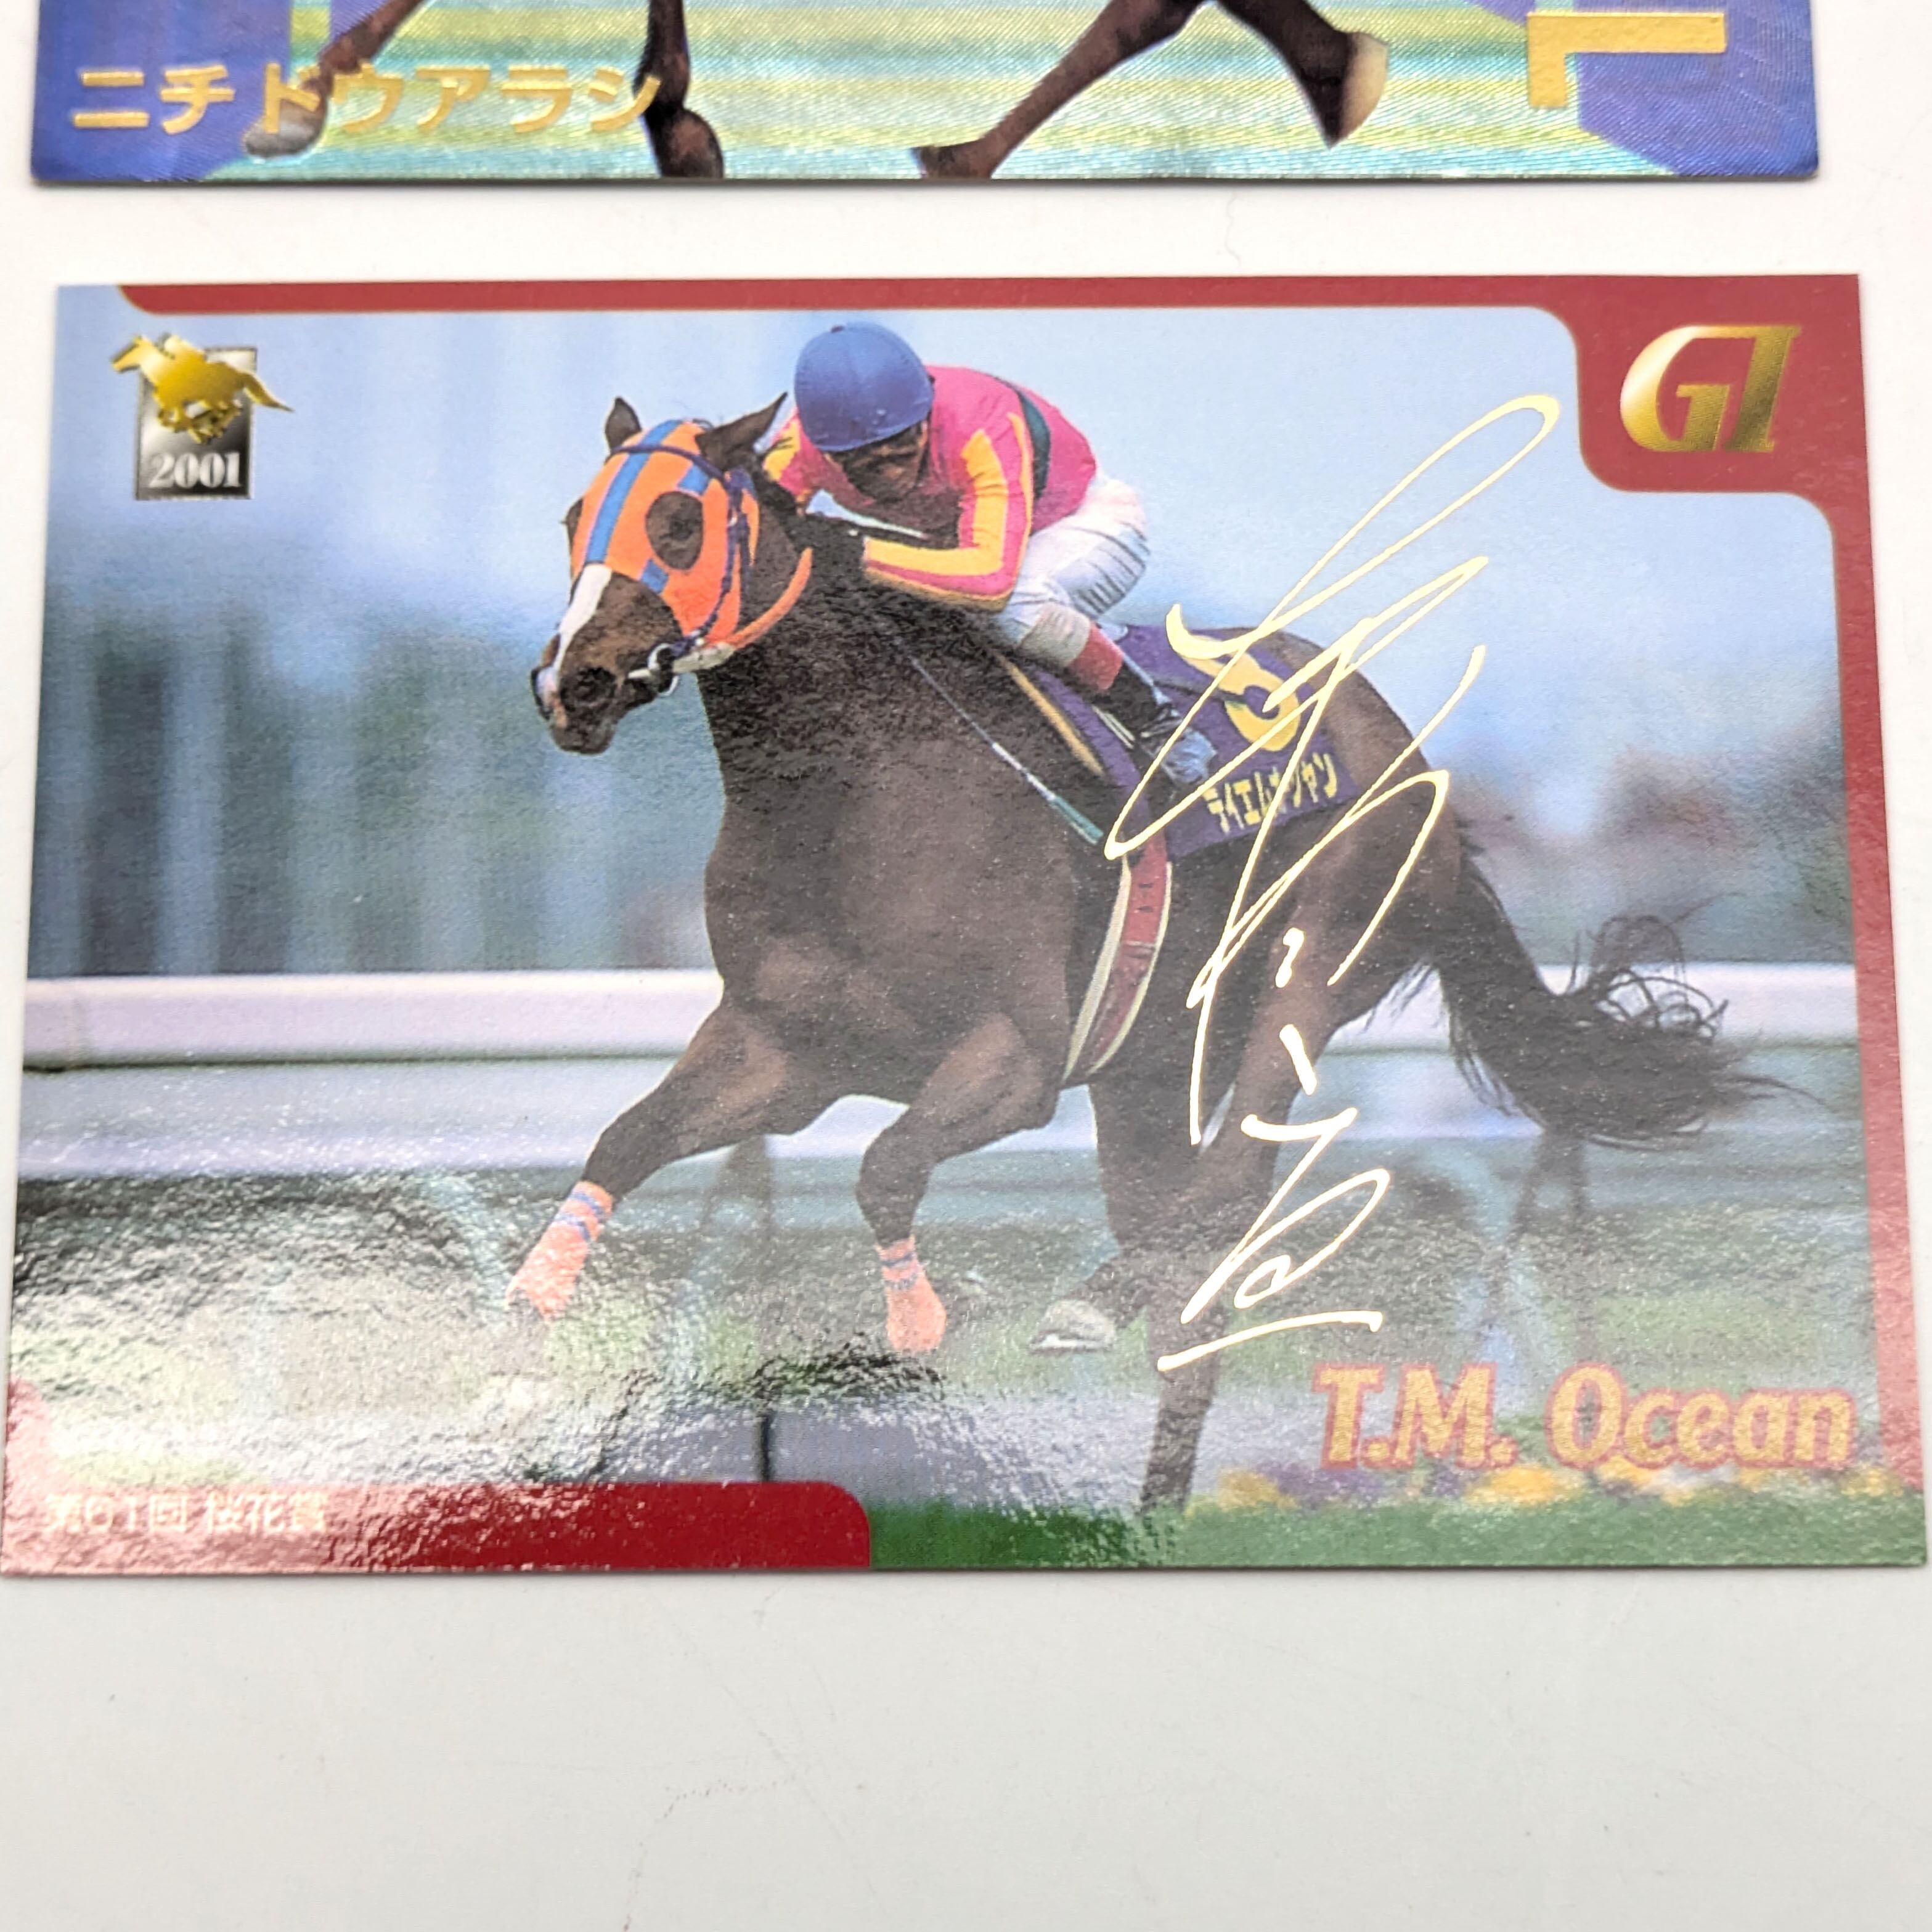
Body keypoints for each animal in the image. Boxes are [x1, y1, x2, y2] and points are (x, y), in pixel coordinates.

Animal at [511, 395, 1745, 1509]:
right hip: (1149, 1066)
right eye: (573, 515)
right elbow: (627, 1139)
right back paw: (1150, 1512)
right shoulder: (783, 1049)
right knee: (1189, 1282)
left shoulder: (1014, 1057)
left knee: (1228, 1184)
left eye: (678, 523)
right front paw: (526, 1313)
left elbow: (887, 1167)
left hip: (1309, 970)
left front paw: (917, 1319)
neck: (854, 789)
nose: (573, 683)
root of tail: (1423, 769)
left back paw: (1090, 1306)